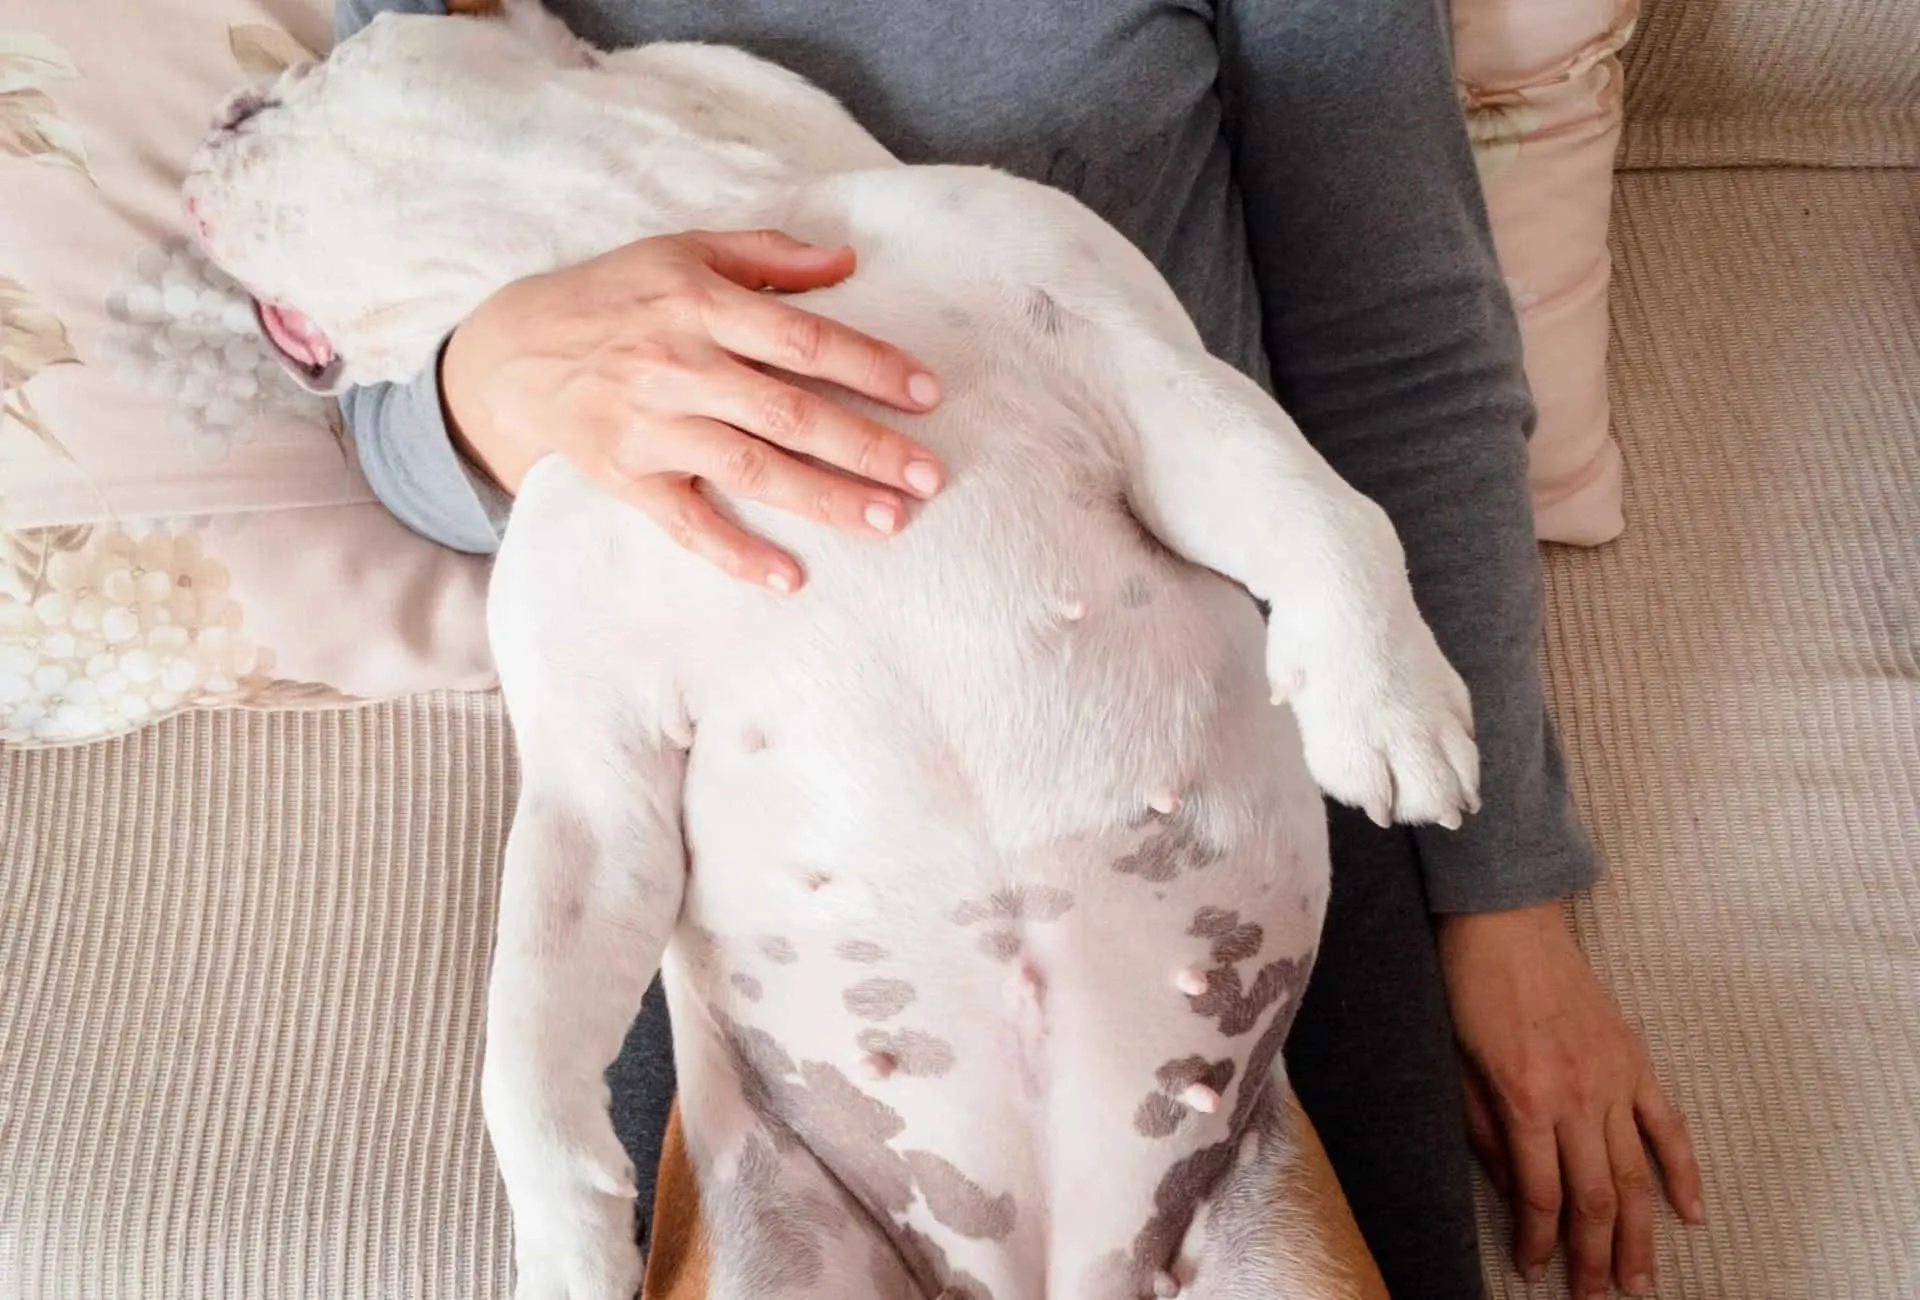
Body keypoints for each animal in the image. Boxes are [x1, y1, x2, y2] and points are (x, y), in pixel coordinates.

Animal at [187, 5, 1474, 1290]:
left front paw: (1386, 699)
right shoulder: (592, 774)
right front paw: (566, 1248)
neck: (674, 229)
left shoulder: (1144, 377)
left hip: (1280, 1241)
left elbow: (1320, 503)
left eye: (279, 98)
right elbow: (523, 1038)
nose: (211, 125)